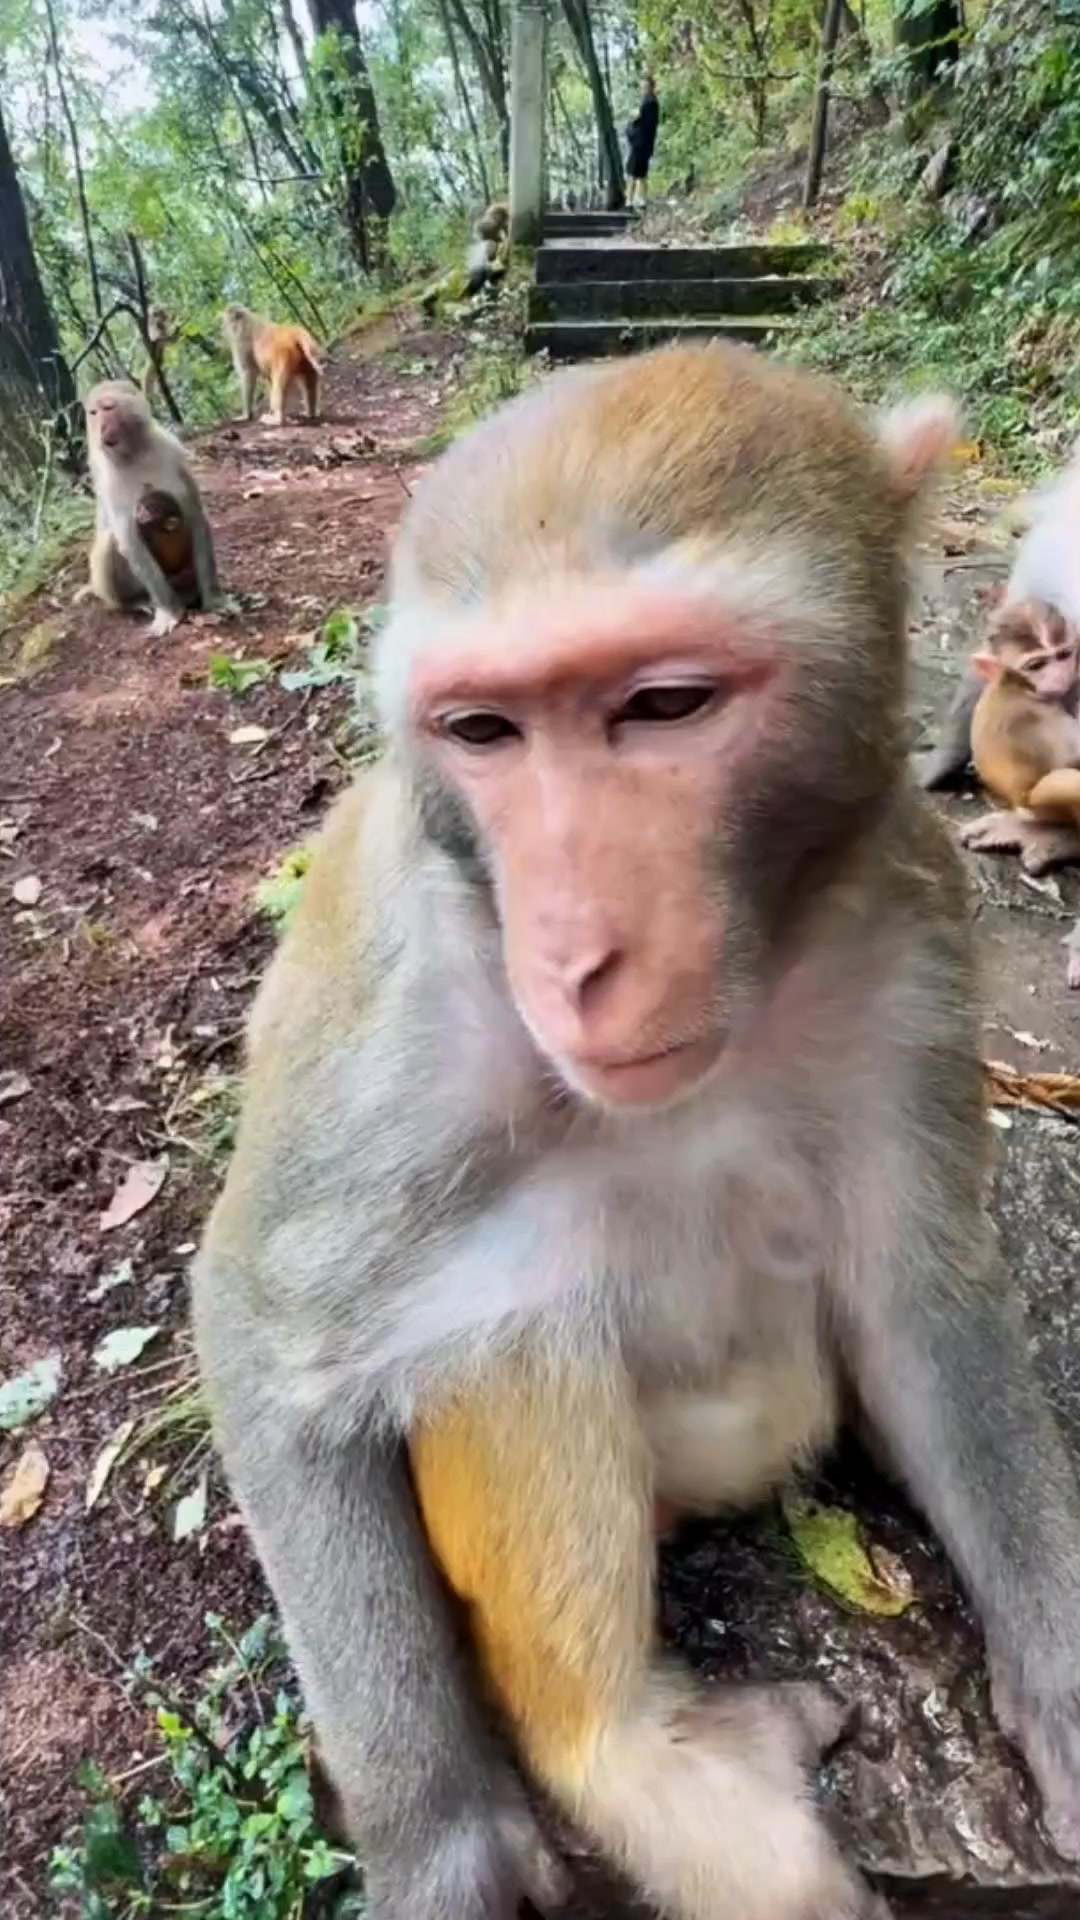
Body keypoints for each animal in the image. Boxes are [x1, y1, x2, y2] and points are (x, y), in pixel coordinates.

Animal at [84, 381, 219, 638]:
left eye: (108, 408)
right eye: (93, 413)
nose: (101, 428)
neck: (134, 453)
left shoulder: (173, 452)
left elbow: (194, 517)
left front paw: (216, 599)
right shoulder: (108, 476)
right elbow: (129, 537)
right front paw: (169, 612)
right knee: (109, 541)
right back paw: (134, 603)